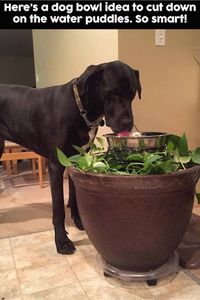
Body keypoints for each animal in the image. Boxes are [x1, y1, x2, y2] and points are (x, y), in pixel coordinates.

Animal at [0, 60, 141, 253]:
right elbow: (58, 208)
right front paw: (62, 241)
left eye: (132, 94)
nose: (128, 123)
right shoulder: (55, 165)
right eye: (112, 92)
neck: (80, 108)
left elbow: (74, 194)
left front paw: (79, 221)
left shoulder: (78, 159)